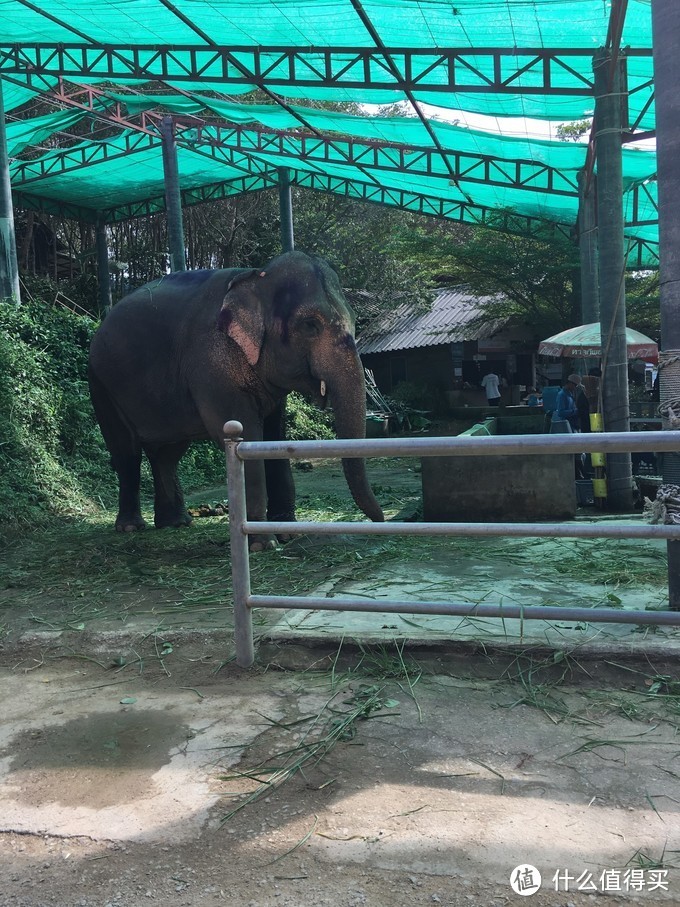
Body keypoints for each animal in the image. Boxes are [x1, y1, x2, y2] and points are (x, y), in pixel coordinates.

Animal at [87, 248, 382, 548]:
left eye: (355, 319)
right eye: (310, 325)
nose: (379, 521)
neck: (256, 276)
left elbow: (274, 437)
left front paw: (289, 534)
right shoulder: (211, 363)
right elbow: (245, 434)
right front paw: (264, 545)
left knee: (167, 455)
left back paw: (176, 523)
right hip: (101, 385)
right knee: (126, 453)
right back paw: (130, 527)